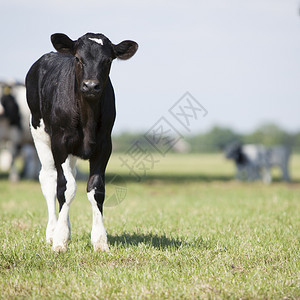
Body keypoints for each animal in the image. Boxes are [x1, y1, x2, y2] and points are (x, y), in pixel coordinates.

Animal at [25, 32, 138, 252]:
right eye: (78, 58)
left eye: (108, 60)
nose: (91, 85)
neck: (87, 117)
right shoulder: (60, 143)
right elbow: (65, 188)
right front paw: (60, 240)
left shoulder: (104, 146)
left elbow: (96, 189)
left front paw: (100, 241)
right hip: (39, 132)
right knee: (49, 178)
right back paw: (52, 231)